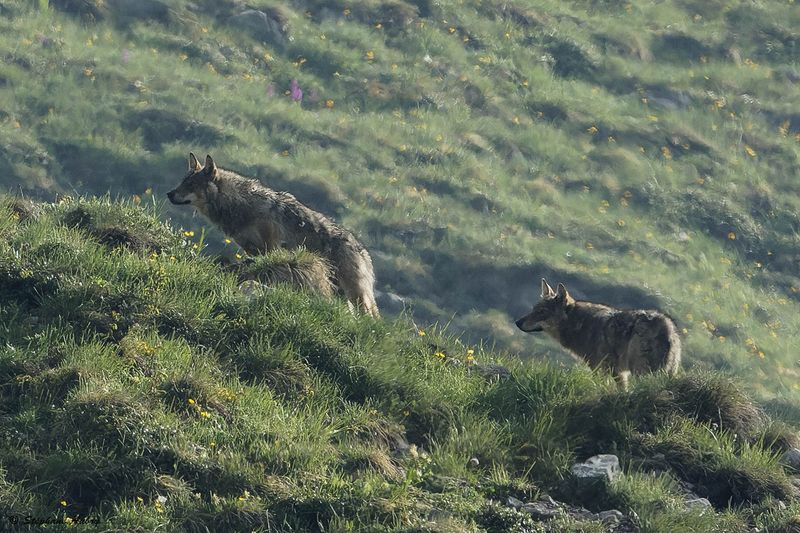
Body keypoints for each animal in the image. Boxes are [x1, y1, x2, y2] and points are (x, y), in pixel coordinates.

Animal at [167, 153, 379, 316]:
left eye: (191, 184)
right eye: (182, 182)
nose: (169, 194)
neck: (241, 205)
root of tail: (363, 251)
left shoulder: (270, 248)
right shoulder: (253, 251)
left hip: (356, 296)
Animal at [515, 279, 681, 388]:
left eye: (541, 312)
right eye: (533, 309)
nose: (517, 322)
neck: (579, 324)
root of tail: (667, 327)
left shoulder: (605, 369)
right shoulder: (614, 371)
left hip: (641, 370)